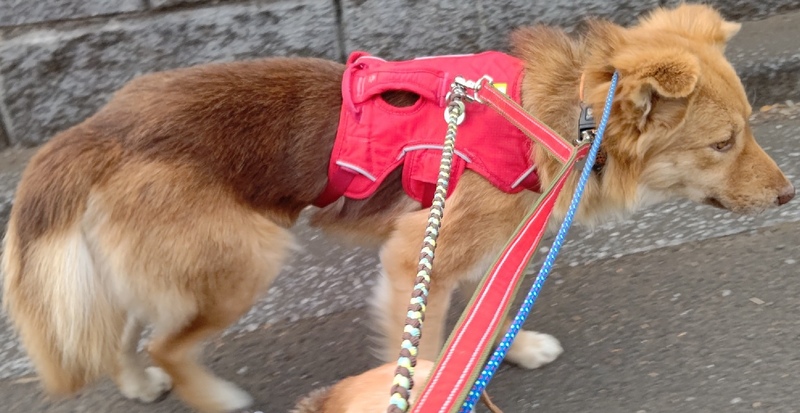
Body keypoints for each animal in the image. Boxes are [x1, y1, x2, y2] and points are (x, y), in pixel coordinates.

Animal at [2, 3, 794, 412]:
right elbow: (426, 335)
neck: (563, 123)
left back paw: (138, 382)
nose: (790, 195)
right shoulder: (419, 254)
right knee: (167, 337)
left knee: (123, 326)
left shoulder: (506, 245)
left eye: (750, 129)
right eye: (724, 142)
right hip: (247, 257)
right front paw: (432, 376)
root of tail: (99, 126)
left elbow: (491, 312)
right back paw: (214, 396)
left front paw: (505, 350)